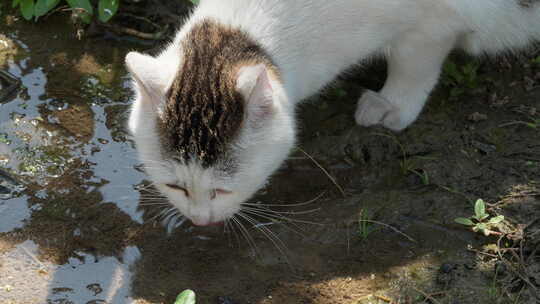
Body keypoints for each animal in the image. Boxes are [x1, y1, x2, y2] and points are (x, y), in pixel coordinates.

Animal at [125, 0, 540, 226]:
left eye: (222, 189)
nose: (199, 220)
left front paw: (393, 104)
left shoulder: (434, 24)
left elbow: (414, 64)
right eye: (175, 186)